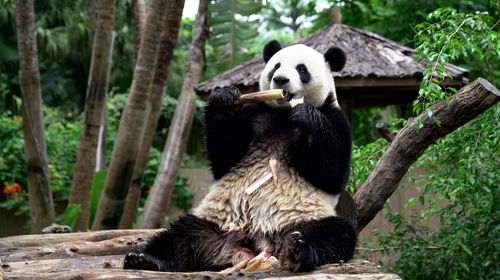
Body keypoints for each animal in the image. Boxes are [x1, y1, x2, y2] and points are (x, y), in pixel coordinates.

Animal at [126, 40, 360, 272]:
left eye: (301, 69)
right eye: (276, 66)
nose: (280, 79)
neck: (283, 114)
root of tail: (254, 243)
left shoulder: (335, 118)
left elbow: (332, 173)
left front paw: (306, 117)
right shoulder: (255, 114)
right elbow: (224, 157)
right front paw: (223, 101)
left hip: (302, 217)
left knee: (334, 234)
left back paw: (297, 250)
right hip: (214, 220)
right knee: (178, 235)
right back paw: (145, 259)